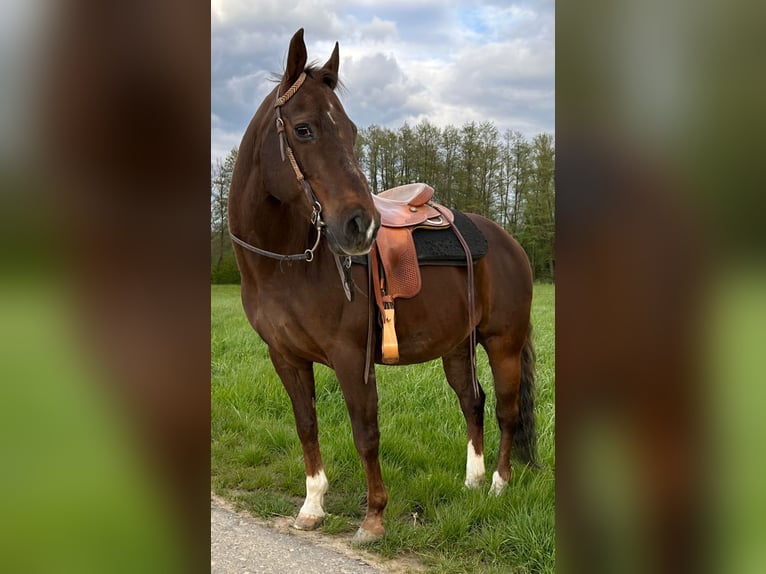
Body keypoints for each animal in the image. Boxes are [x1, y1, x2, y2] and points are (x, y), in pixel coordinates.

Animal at [228, 28, 537, 543]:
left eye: (352, 131)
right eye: (304, 129)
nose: (361, 225)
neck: (288, 266)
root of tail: (510, 243)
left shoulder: (352, 357)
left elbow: (365, 432)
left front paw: (374, 517)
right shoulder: (285, 357)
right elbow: (306, 426)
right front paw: (312, 506)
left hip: (503, 344)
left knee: (506, 411)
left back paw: (498, 485)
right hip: (458, 345)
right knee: (472, 400)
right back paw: (472, 482)